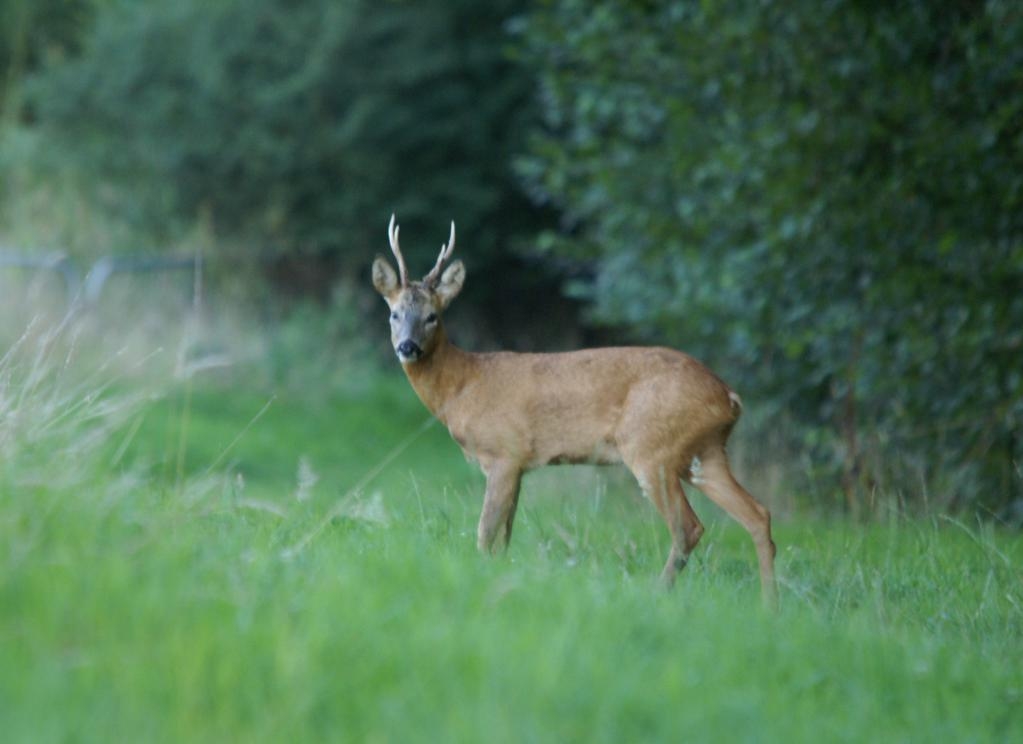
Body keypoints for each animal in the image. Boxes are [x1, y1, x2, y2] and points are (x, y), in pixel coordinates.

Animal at [372, 214, 777, 605]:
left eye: (432, 316)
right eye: (394, 314)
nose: (407, 347)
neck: (463, 386)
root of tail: (728, 396)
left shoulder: (505, 452)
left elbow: (485, 534)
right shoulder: (520, 466)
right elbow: (504, 537)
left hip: (652, 448)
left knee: (689, 527)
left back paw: (659, 595)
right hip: (704, 452)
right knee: (758, 514)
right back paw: (769, 607)